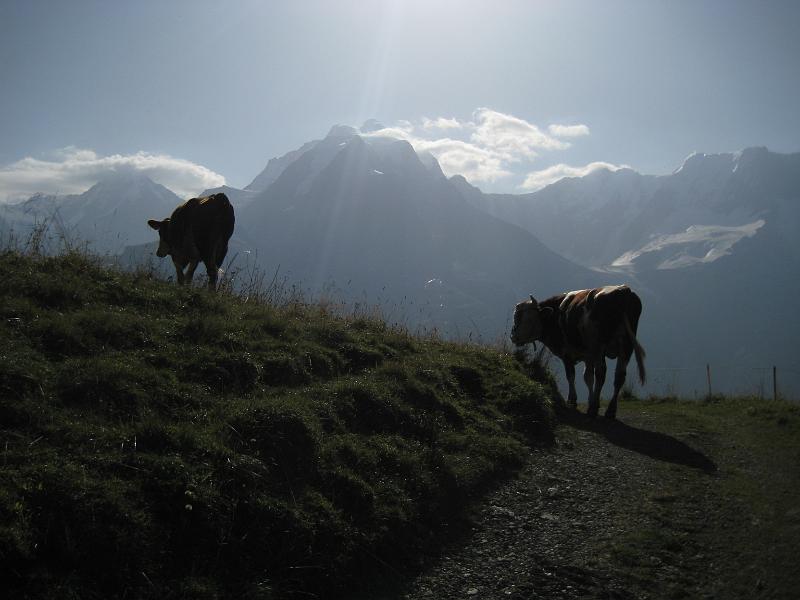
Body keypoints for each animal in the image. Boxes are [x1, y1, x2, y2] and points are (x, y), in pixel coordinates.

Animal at [512, 284, 644, 418]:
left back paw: (594, 408)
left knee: (601, 373)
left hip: (599, 346)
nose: (514, 336)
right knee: (619, 376)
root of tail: (623, 289)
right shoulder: (588, 356)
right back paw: (610, 410)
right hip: (627, 346)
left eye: (527, 319)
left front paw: (572, 400)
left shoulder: (567, 352)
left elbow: (571, 375)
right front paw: (590, 400)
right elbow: (588, 377)